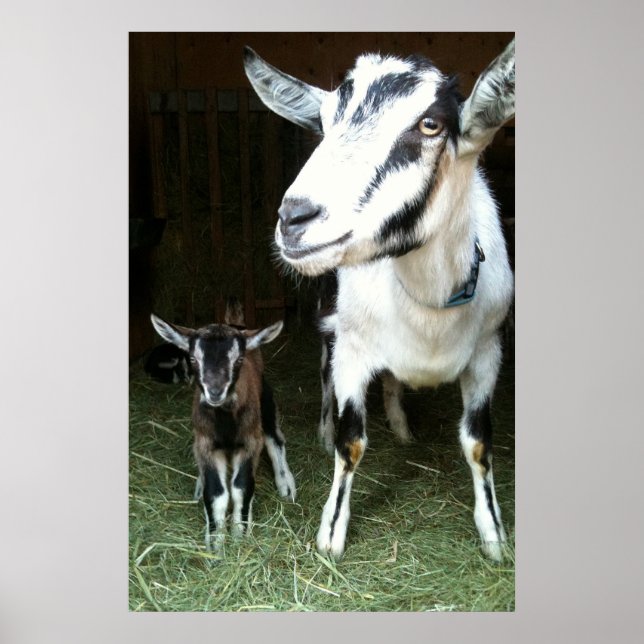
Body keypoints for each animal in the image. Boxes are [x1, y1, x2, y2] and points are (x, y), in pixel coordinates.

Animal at [150, 309, 296, 550]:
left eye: (238, 360)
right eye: (193, 359)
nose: (215, 392)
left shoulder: (250, 442)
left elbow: (241, 487)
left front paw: (239, 534)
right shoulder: (206, 443)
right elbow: (216, 492)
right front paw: (216, 542)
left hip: (265, 400)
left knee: (275, 438)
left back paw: (286, 485)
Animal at [244, 39, 515, 561]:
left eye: (430, 124)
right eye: (325, 121)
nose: (294, 218)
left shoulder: (488, 351)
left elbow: (477, 443)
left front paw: (494, 535)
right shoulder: (352, 350)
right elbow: (351, 443)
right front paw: (331, 534)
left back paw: (402, 425)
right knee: (324, 372)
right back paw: (325, 427)